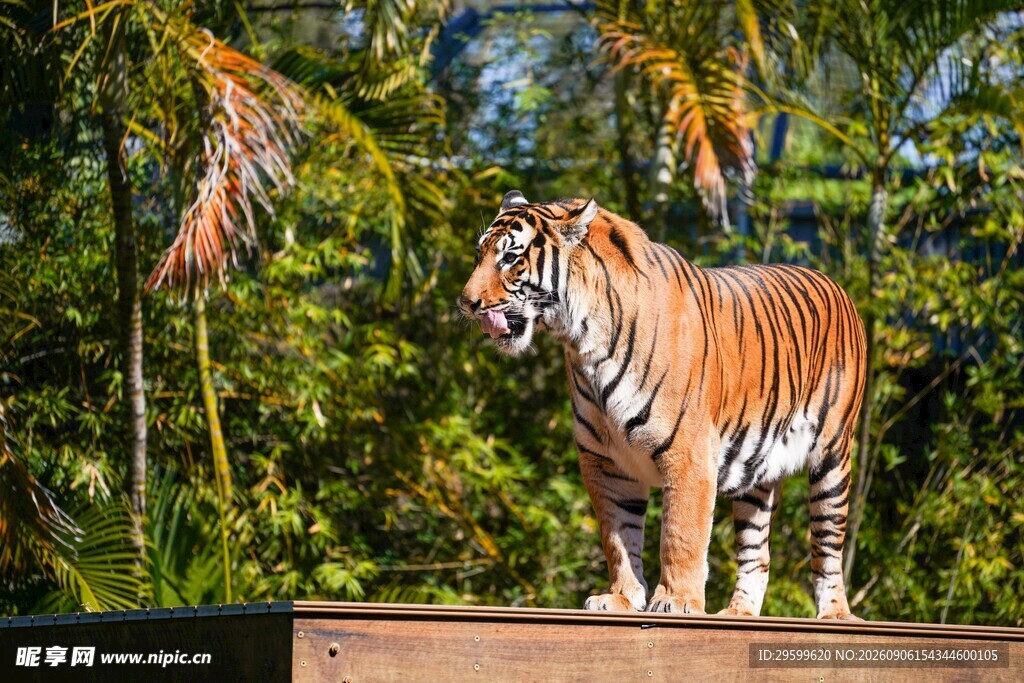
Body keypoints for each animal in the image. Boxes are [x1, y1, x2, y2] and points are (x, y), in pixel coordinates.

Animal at [458, 190, 867, 619]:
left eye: (510, 257)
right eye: (479, 254)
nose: (466, 303)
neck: (583, 342)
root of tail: (832, 282)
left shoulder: (689, 455)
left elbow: (680, 534)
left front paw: (677, 600)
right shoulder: (606, 462)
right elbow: (618, 537)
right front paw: (621, 597)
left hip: (832, 456)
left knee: (828, 546)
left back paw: (835, 614)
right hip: (755, 476)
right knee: (758, 554)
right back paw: (737, 614)